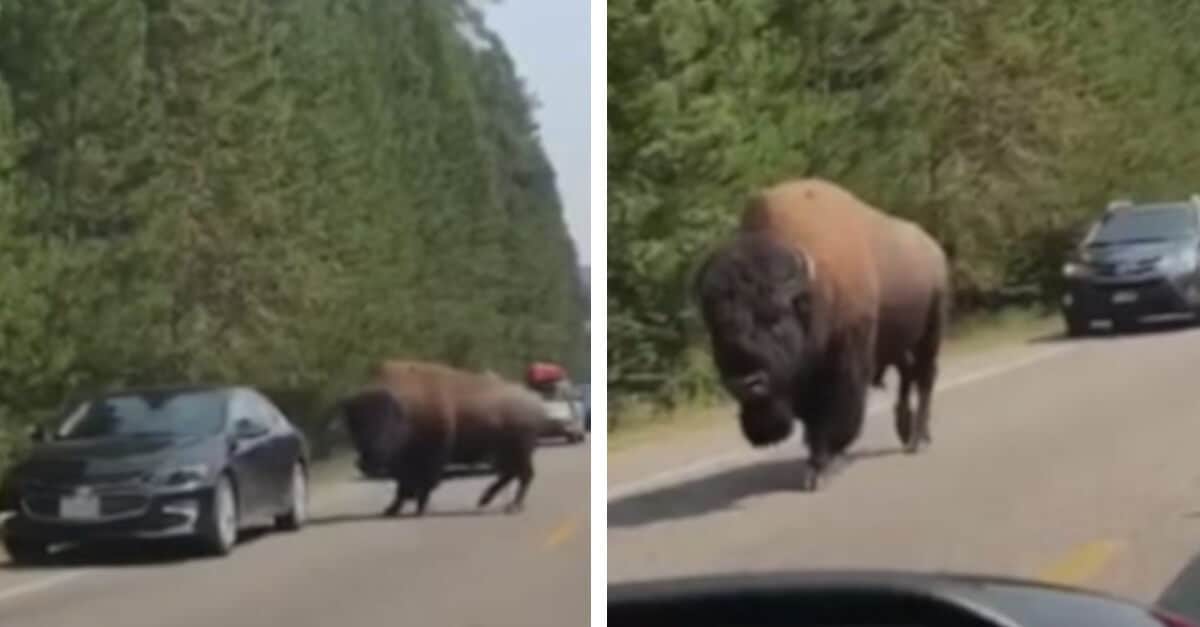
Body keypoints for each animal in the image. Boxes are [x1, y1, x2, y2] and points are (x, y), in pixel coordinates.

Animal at [340, 357, 542, 514]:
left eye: (388, 424)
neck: (409, 408)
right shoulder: (404, 463)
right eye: (354, 425)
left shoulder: (431, 454)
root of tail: (532, 400)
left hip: (518, 451)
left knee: (524, 475)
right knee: (512, 474)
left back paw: (513, 506)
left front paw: (419, 507)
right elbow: (402, 486)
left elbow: (422, 482)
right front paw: (391, 509)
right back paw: (486, 500)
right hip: (505, 453)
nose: (367, 462)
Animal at [696, 177, 945, 490]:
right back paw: (905, 429)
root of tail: (933, 248)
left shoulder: (842, 366)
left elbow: (832, 415)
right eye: (717, 328)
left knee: (924, 379)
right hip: (898, 342)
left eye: (775, 319)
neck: (814, 292)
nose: (746, 382)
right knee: (907, 375)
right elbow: (811, 419)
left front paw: (822, 468)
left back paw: (918, 439)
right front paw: (816, 463)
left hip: (930, 334)